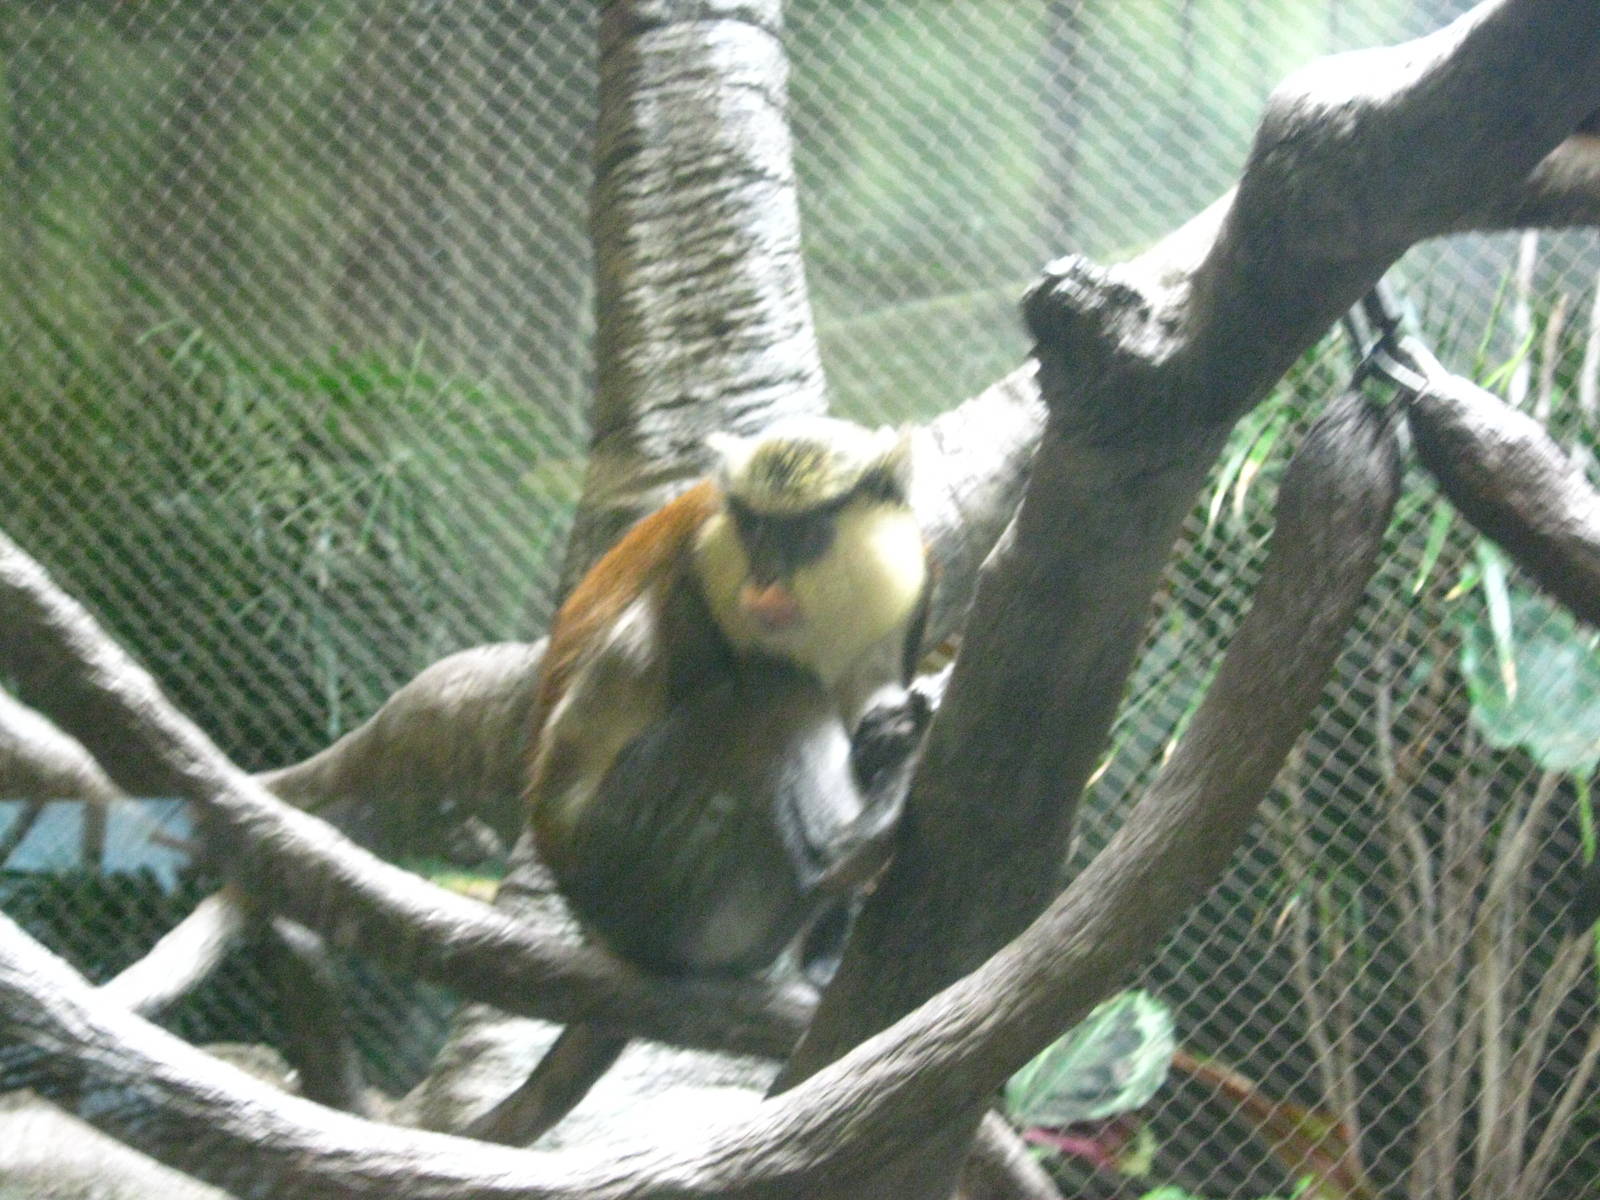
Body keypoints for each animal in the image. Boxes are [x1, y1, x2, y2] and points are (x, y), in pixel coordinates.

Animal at [467, 417, 930, 1143]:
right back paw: (850, 849)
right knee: (773, 692)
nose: (763, 581)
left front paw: (884, 739)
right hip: (634, 851)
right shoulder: (699, 578)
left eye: (802, 533)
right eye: (755, 529)